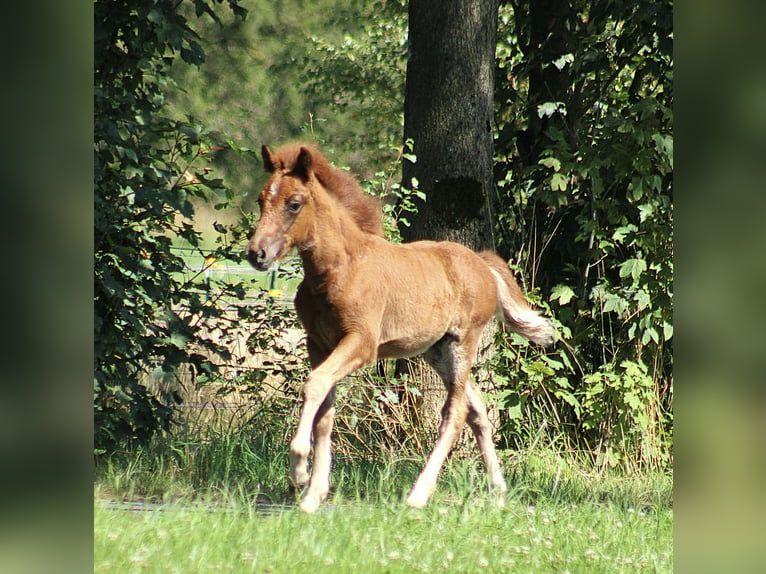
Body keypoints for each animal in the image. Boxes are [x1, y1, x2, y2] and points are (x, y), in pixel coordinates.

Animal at [246, 144, 552, 512]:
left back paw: (418, 494)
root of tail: (481, 262)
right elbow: (324, 414)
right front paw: (312, 494)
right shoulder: (318, 344)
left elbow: (314, 385)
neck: (337, 271)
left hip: (462, 342)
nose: (256, 254)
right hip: (436, 350)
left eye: (294, 203)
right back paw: (497, 490)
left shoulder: (361, 343)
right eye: (261, 200)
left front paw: (299, 473)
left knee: (455, 412)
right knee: (477, 408)